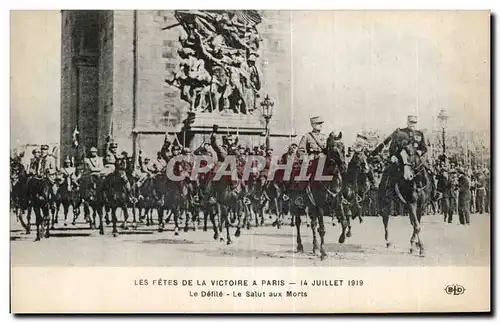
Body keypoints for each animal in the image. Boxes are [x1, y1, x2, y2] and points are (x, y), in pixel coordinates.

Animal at [296, 132, 348, 260]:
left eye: (343, 148)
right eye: (334, 150)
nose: (344, 167)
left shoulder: (338, 202)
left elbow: (344, 222)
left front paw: (342, 238)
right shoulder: (320, 206)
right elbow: (322, 229)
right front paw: (323, 252)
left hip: (311, 206)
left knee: (313, 224)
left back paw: (315, 248)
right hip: (296, 206)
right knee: (298, 222)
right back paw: (300, 246)